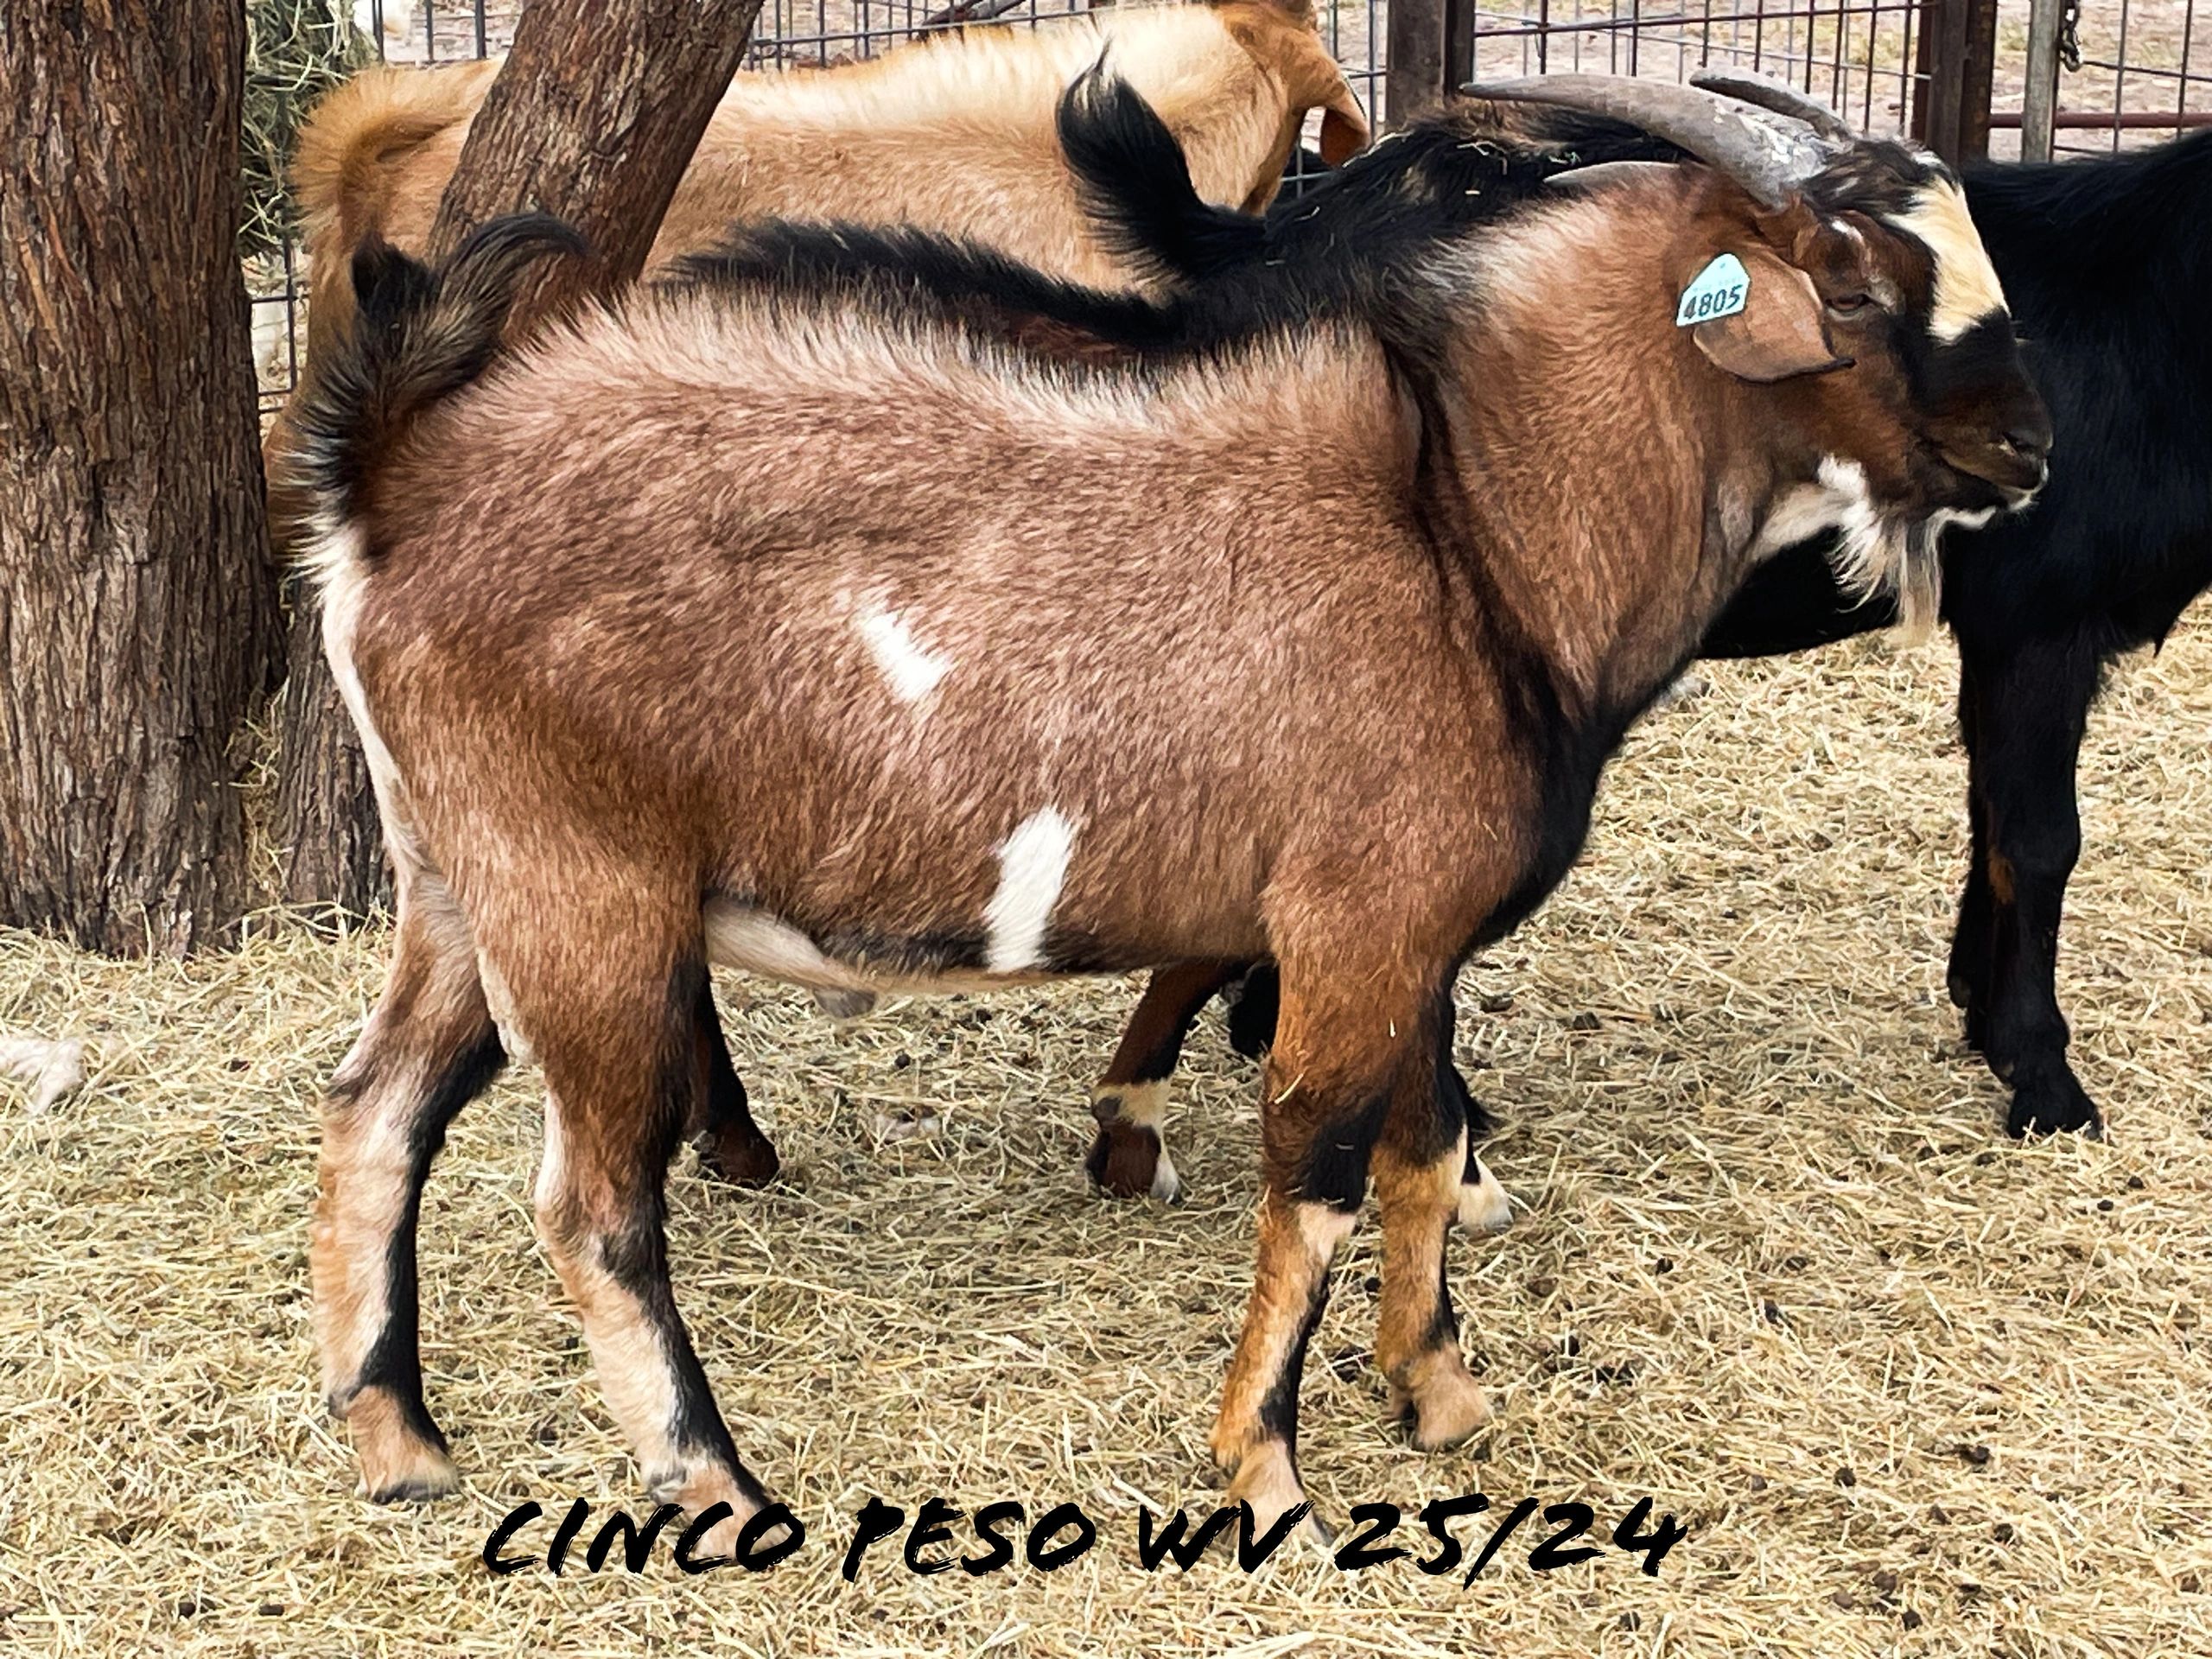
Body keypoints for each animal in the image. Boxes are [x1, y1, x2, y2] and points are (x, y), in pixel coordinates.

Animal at [292, 72, 2045, 1542]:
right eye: (1851, 276)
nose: (2026, 447)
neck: (1469, 529)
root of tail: (393, 486)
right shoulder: (1356, 920)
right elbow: (1319, 1179)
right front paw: (1265, 1468)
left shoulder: (1413, 935)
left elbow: (1422, 1153)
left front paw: (1443, 1400)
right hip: (586, 894)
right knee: (591, 1204)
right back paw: (716, 1483)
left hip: (460, 882)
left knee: (377, 1108)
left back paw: (400, 1446)